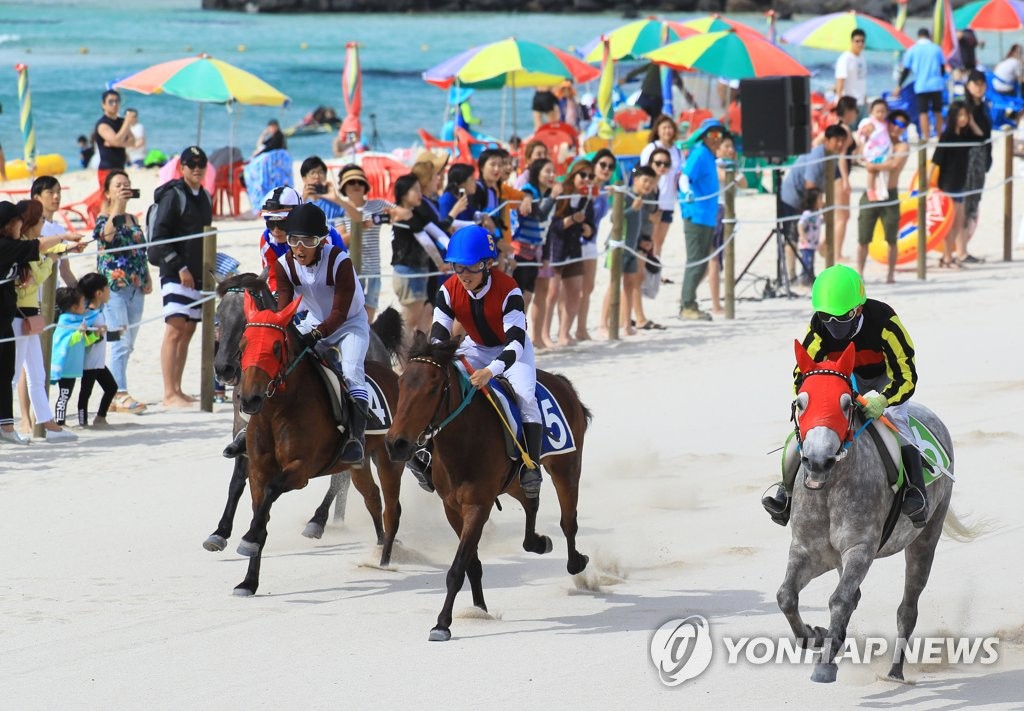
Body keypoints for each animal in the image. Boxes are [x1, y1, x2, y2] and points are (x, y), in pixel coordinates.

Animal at [204, 276, 403, 561]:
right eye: (218, 315)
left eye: (243, 319)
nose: (223, 369)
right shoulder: (244, 436)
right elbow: (237, 482)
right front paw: (220, 532)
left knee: (342, 476)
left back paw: (317, 521)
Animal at [385, 336, 593, 643]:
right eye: (401, 384)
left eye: (433, 388)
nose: (396, 444)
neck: (465, 440)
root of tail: (561, 382)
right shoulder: (452, 507)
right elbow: (471, 563)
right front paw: (479, 609)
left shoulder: (478, 506)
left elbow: (457, 567)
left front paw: (442, 624)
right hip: (515, 481)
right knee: (531, 503)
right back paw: (537, 542)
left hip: (566, 468)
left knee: (568, 521)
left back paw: (576, 561)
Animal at [782, 342, 966, 688]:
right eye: (801, 403)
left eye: (845, 404)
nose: (817, 461)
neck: (829, 489)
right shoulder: (807, 550)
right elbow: (786, 596)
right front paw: (815, 636)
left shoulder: (860, 549)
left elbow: (840, 599)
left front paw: (825, 663)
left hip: (926, 538)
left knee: (907, 608)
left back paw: (895, 672)